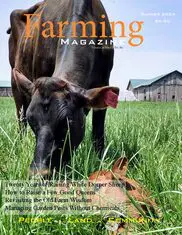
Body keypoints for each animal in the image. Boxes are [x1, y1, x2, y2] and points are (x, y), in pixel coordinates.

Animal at [7, 0, 119, 176]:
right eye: (33, 121)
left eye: (67, 123)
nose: (39, 172)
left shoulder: (104, 79)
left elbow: (98, 133)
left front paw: (100, 161)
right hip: (15, 81)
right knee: (20, 119)